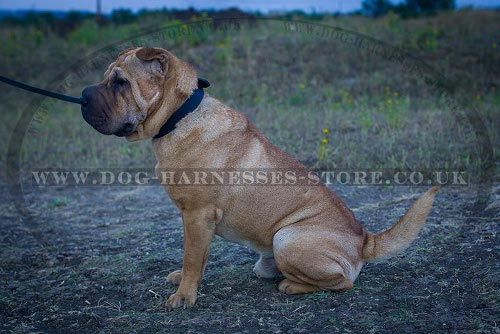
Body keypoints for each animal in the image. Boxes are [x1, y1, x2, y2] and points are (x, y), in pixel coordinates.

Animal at [81, 47, 438, 310]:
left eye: (120, 82)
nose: (83, 96)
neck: (180, 115)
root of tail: (364, 239)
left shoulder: (197, 215)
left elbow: (192, 256)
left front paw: (183, 296)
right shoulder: (196, 221)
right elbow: (196, 257)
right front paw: (184, 280)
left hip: (287, 238)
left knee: (343, 281)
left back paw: (291, 285)